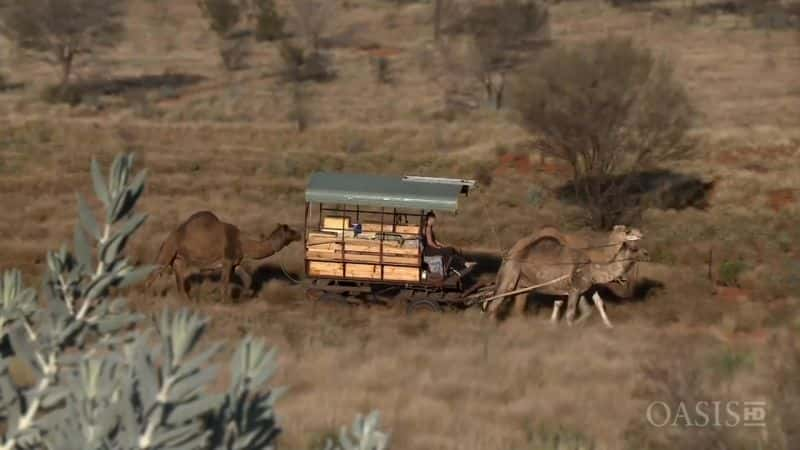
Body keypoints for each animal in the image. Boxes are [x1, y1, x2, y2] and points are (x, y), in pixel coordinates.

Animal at [145, 211, 302, 302]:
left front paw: (243, 297)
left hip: (178, 258)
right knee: (153, 274)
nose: (300, 234)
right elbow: (224, 283)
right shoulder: (227, 261)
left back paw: (186, 300)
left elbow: (247, 279)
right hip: (168, 251)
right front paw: (223, 302)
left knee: (179, 279)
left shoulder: (236, 262)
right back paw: (149, 298)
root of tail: (168, 238)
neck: (244, 242)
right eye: (290, 231)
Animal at [488, 225, 648, 326]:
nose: (641, 233)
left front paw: (608, 325)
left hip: (522, 283)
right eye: (627, 231)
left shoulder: (581, 287)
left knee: (517, 305)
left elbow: (596, 304)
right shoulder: (574, 286)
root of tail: (510, 253)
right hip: (511, 275)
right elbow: (568, 310)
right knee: (495, 302)